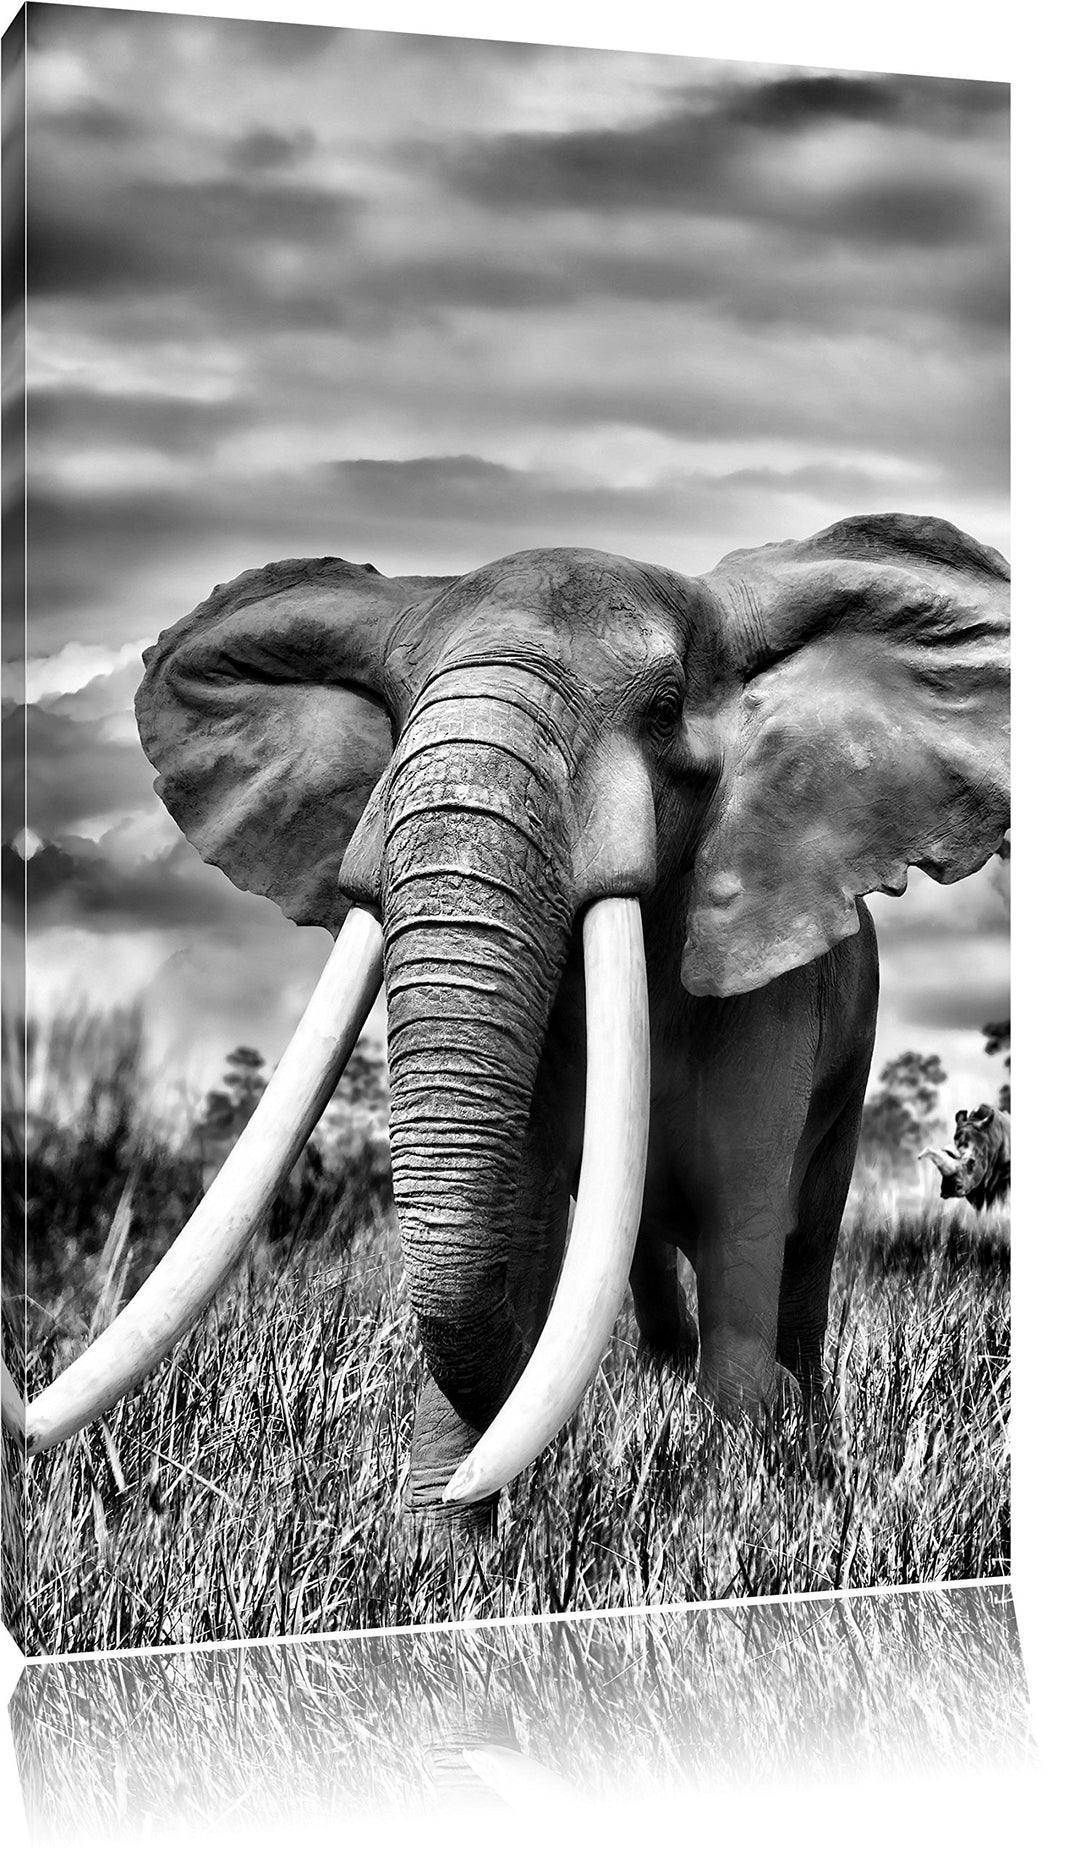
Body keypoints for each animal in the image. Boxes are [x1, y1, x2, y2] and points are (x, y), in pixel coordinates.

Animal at [14, 512, 1009, 1526]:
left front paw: (737, 1515)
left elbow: (743, 1224)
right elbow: (523, 1221)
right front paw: (441, 1548)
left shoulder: (771, 981)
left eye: (664, 712)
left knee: (799, 1251)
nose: (470, 1496)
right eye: (396, 712)